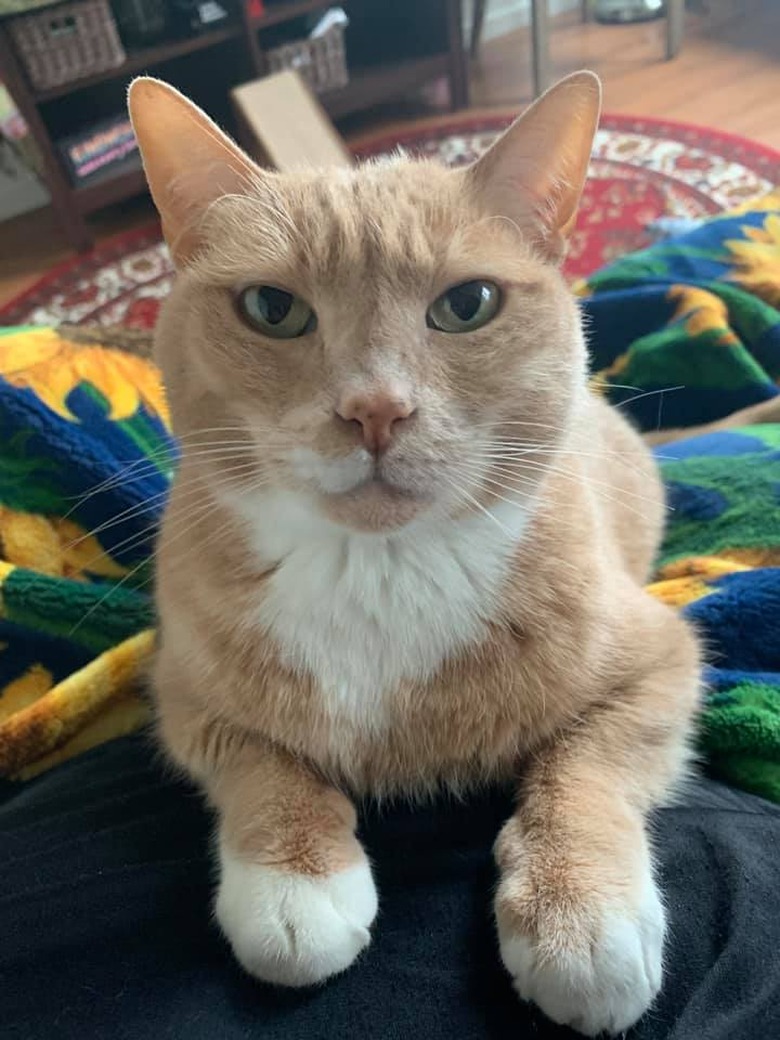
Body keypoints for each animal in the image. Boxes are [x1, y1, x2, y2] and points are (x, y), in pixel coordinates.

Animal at [128, 69, 703, 1035]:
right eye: (273, 309)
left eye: (467, 306)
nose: (375, 409)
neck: (379, 572)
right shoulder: (183, 690)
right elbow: (259, 761)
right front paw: (295, 883)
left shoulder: (663, 660)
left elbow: (590, 764)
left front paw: (582, 909)